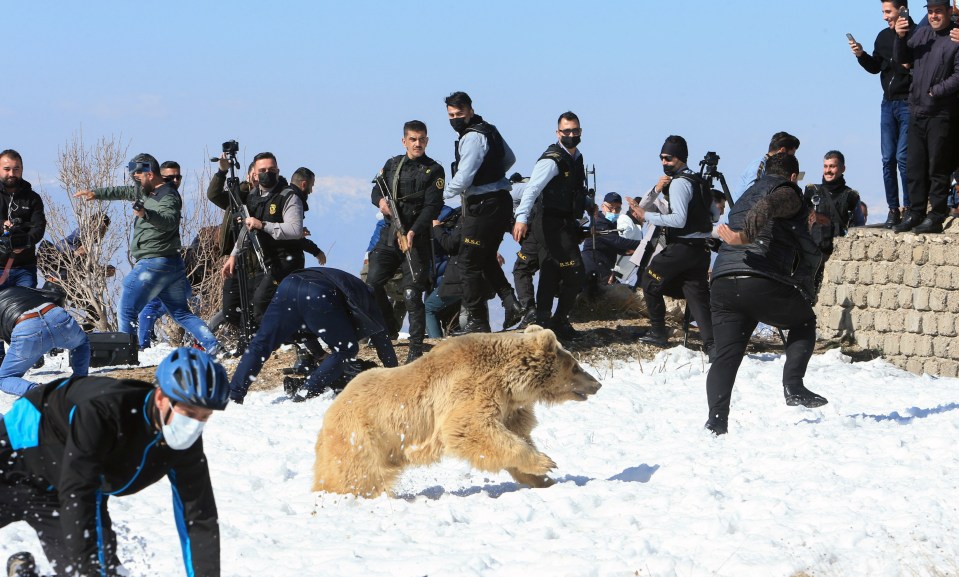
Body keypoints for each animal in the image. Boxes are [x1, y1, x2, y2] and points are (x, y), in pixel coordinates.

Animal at [314, 324, 600, 496]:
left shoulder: (509, 408)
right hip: (363, 436)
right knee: (358, 473)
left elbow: (514, 434)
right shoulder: (472, 389)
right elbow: (470, 428)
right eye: (575, 366)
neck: (510, 383)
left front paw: (545, 479)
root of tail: (331, 409)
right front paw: (546, 463)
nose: (597, 383)